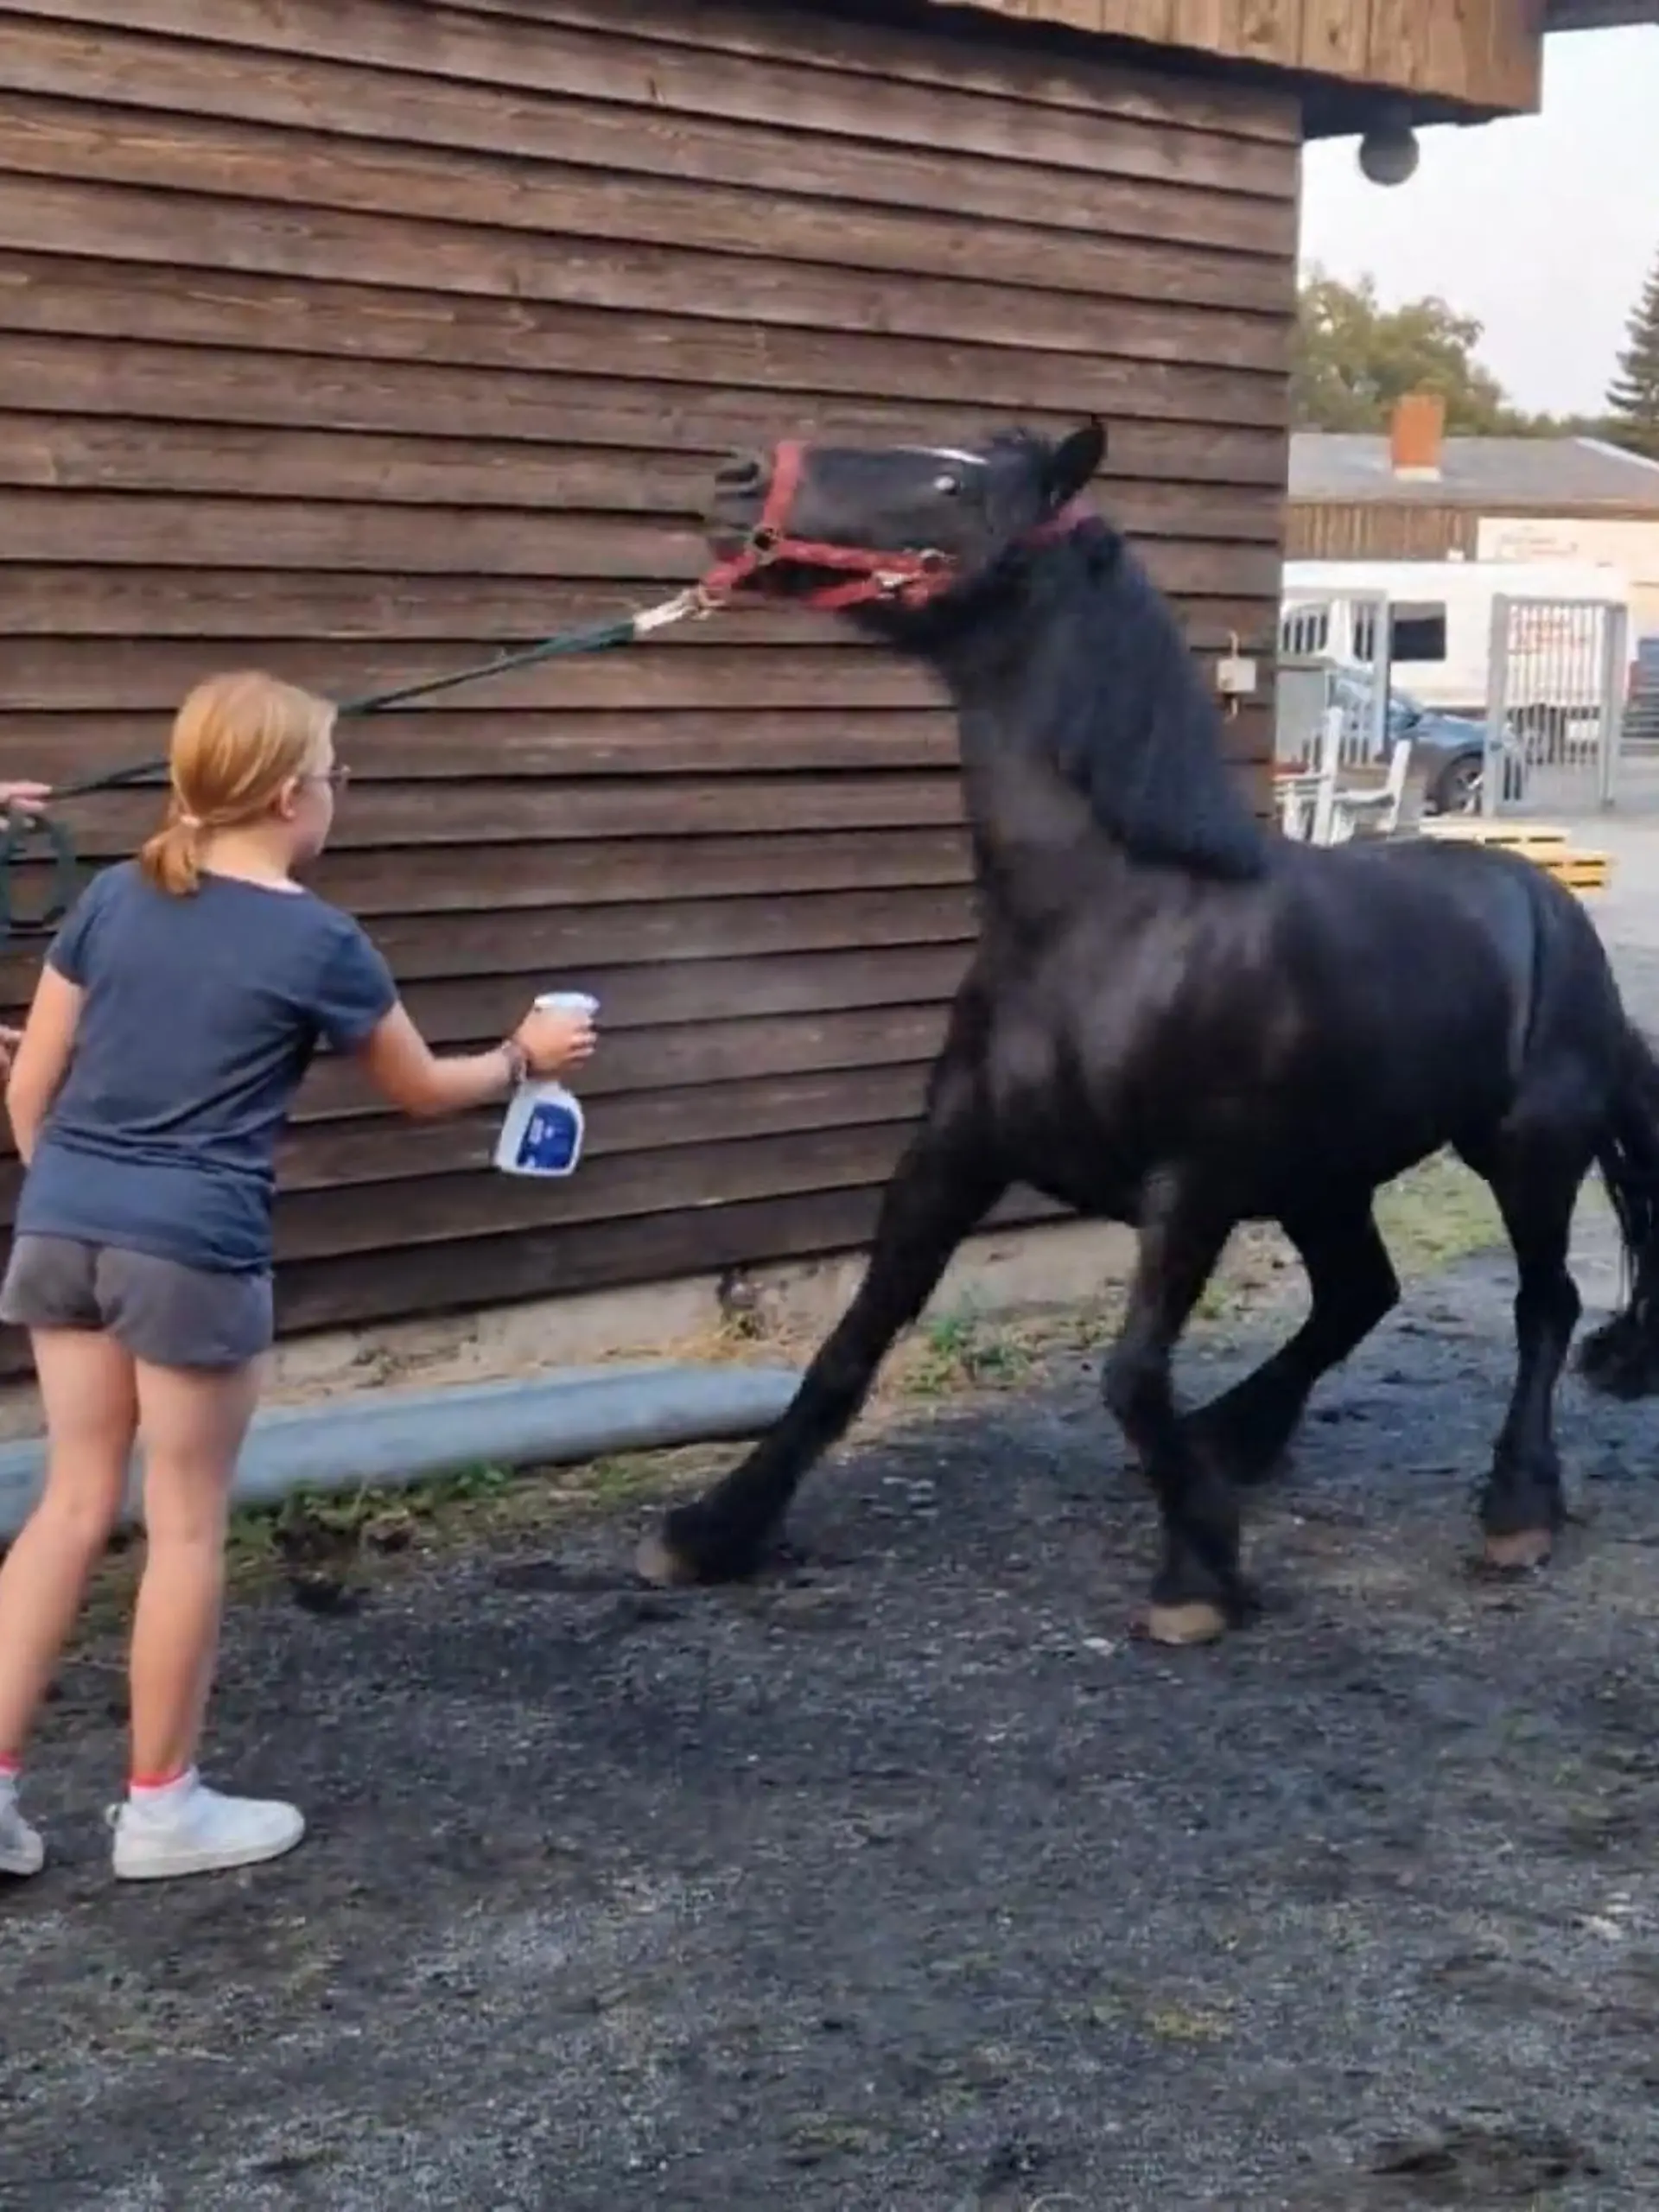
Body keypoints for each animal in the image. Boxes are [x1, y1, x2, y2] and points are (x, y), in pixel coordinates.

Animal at [635, 418, 1659, 1645]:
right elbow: (855, 1340)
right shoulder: (953, 1157)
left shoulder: (1194, 1184)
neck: (1110, 925)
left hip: (1525, 1154)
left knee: (1543, 1305)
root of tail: (1551, 909)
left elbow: (1128, 1373)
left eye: (952, 484)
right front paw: (712, 1529)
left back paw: (1517, 1505)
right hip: (1326, 1176)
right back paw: (1238, 1436)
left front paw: (1198, 1577)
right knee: (1360, 1292)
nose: (738, 481)